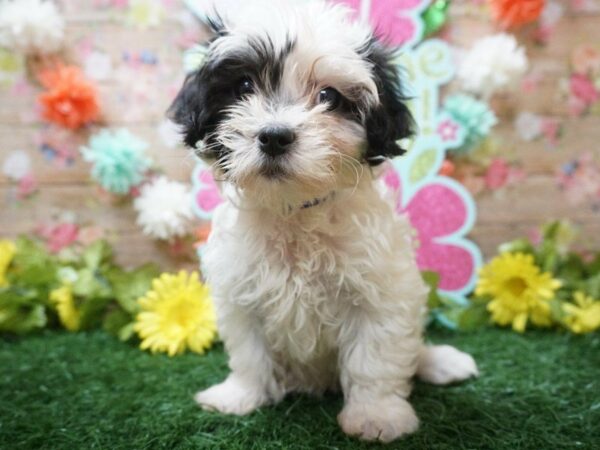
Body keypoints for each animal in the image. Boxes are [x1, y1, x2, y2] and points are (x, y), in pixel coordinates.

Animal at [170, 0, 478, 442]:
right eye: (244, 85)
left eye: (329, 96)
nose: (274, 135)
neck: (295, 210)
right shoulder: (240, 293)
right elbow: (249, 353)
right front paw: (242, 396)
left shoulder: (381, 293)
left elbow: (375, 358)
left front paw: (376, 416)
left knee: (412, 348)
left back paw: (439, 362)